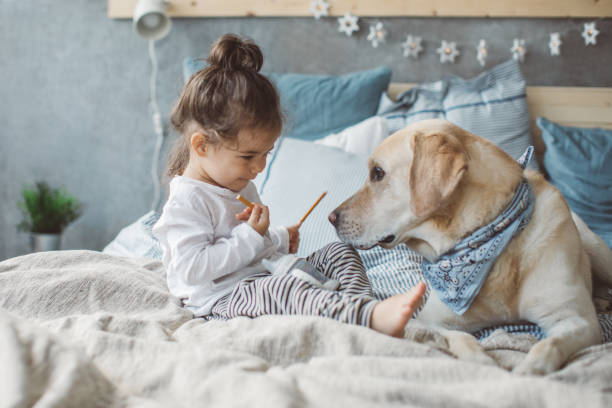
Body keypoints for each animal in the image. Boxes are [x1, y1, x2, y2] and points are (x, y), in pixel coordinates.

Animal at [332, 118, 612, 376]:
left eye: (377, 173)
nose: (331, 217)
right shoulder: (430, 320)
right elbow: (461, 338)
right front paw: (482, 362)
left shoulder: (577, 319)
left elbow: (548, 345)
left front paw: (528, 372)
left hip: (598, 250)